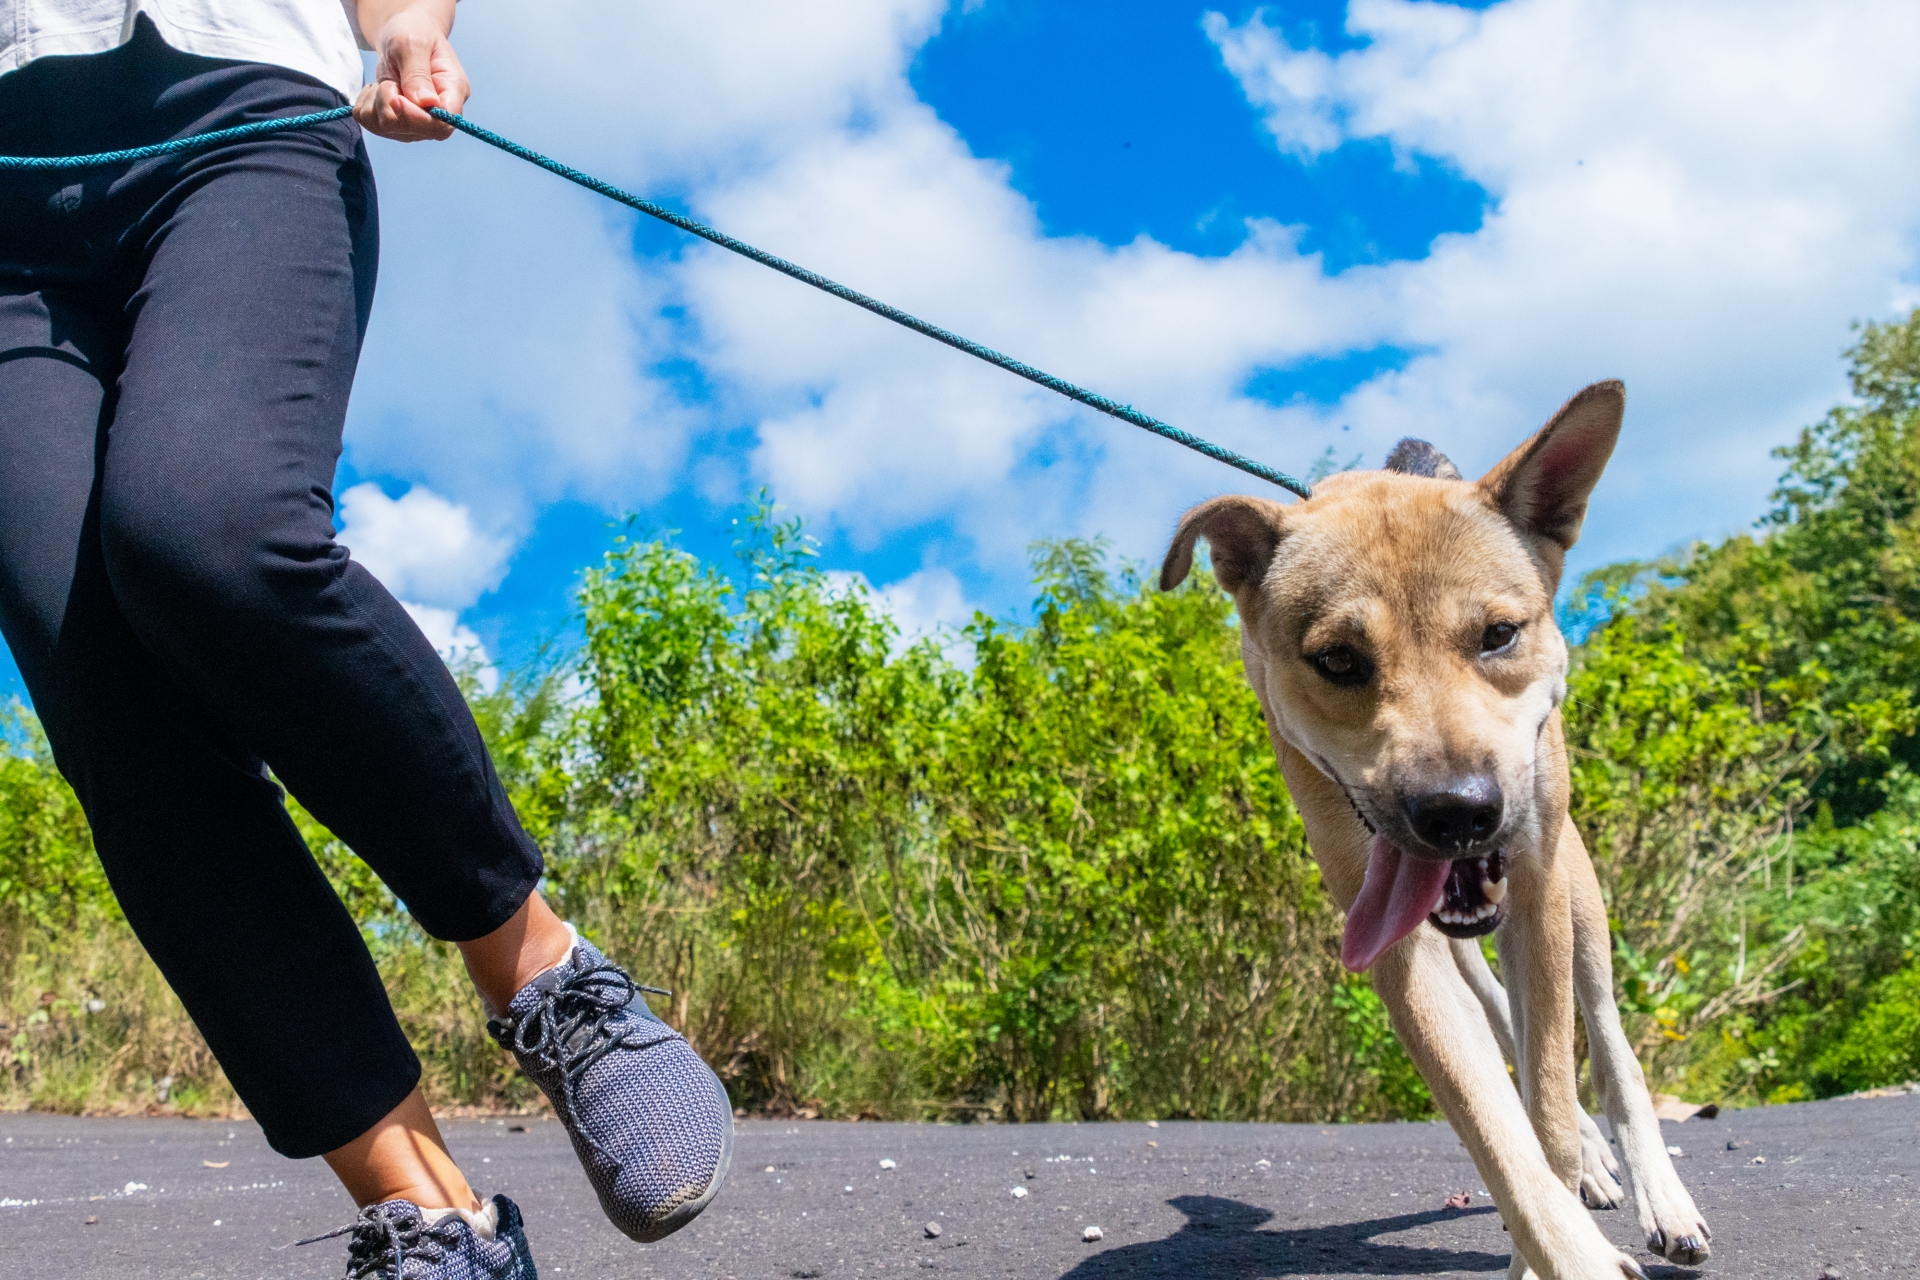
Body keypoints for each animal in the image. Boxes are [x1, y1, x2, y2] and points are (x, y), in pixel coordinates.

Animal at [1159, 383, 1720, 1280]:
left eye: (1498, 634)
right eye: (1339, 659)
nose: (1457, 811)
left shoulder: (1537, 887)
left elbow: (1550, 1098)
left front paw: (1562, 1208)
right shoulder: (1396, 937)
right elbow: (1499, 1129)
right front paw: (1566, 1247)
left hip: (1577, 883)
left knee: (1603, 1033)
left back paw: (1655, 1193)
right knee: (1500, 1016)